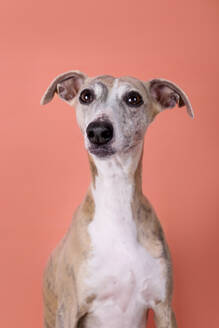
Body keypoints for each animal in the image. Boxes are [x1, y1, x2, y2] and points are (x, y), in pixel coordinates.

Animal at [40, 70, 192, 326]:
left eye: (134, 99)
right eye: (86, 95)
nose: (98, 131)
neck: (116, 195)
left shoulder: (164, 307)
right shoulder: (68, 310)